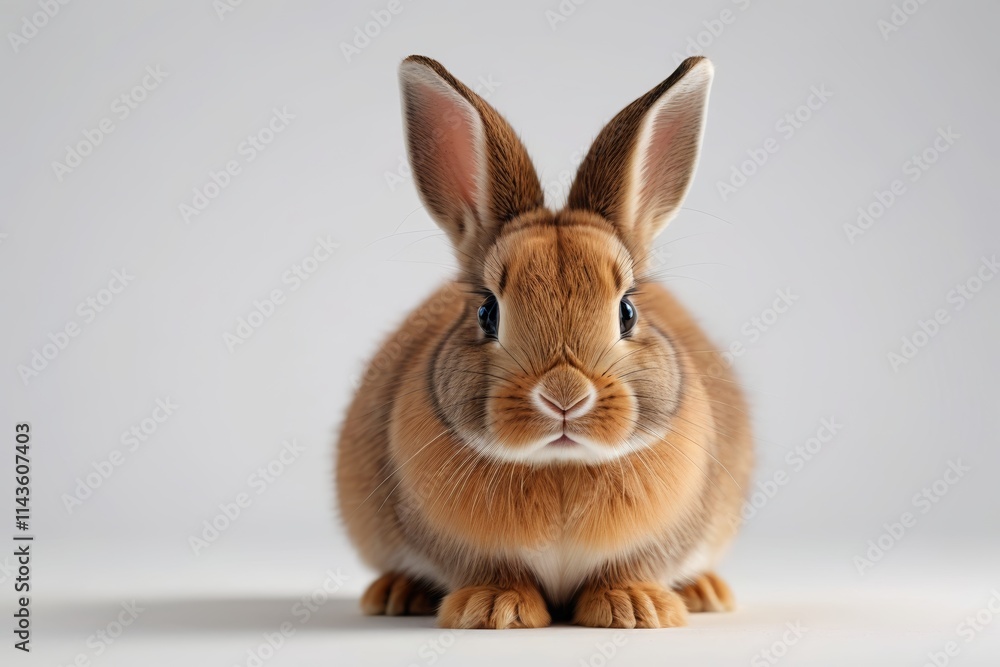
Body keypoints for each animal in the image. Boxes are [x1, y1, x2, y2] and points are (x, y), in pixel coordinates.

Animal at [335, 54, 753, 629]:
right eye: (487, 312)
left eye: (627, 312)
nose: (564, 398)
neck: (560, 466)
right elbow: (495, 571)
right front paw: (494, 609)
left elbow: (627, 568)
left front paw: (634, 607)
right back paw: (395, 593)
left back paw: (705, 592)